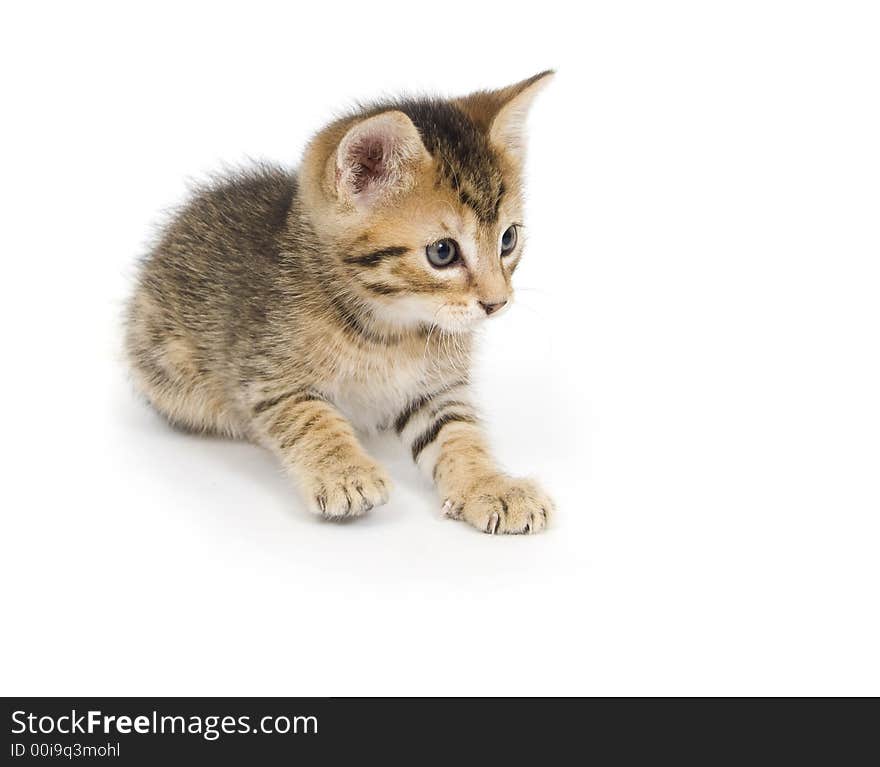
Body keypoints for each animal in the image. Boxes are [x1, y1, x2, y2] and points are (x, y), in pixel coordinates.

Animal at [125, 75, 552, 536]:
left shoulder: (437, 390)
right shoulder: (264, 374)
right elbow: (310, 416)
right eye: (442, 252)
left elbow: (459, 432)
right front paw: (344, 473)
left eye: (508, 239)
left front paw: (491, 485)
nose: (497, 303)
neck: (391, 328)